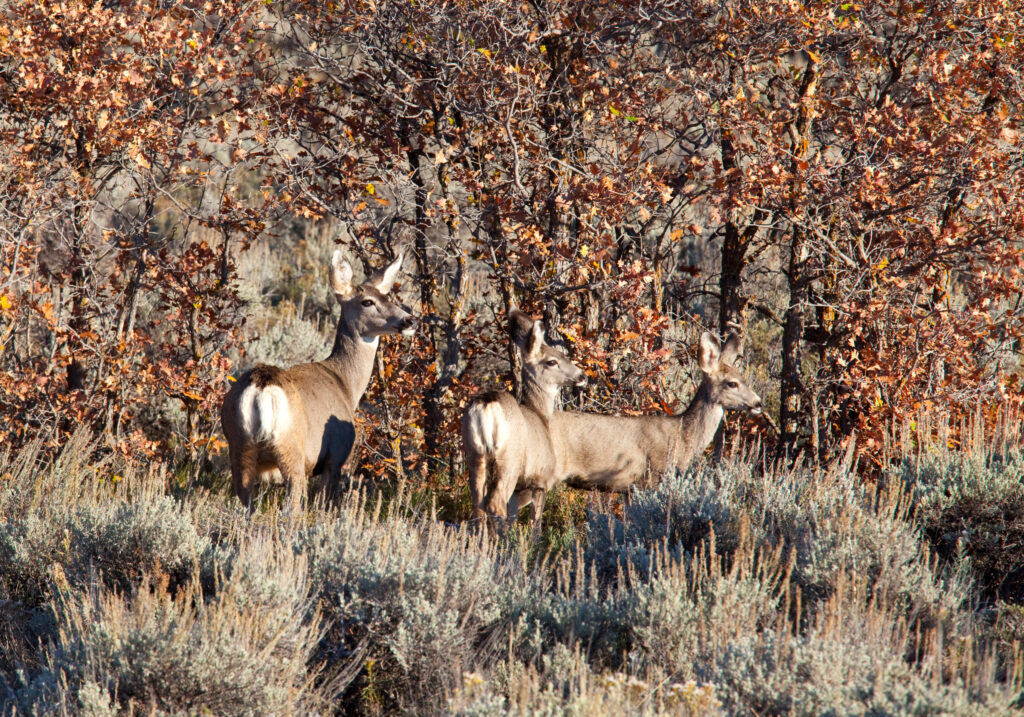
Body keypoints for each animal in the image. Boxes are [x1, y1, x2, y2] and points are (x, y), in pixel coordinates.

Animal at [222, 250, 417, 510]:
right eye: (367, 301)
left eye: (387, 297)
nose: (410, 320)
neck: (345, 384)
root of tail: (261, 388)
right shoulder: (335, 456)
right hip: (292, 451)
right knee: (292, 508)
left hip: (239, 446)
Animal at [462, 311, 585, 536]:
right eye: (552, 361)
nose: (582, 376)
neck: (541, 416)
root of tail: (487, 404)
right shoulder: (541, 479)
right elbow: (536, 521)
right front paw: (533, 541)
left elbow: (514, 514)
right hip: (508, 459)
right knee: (494, 503)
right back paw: (503, 539)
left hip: (474, 453)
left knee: (478, 504)